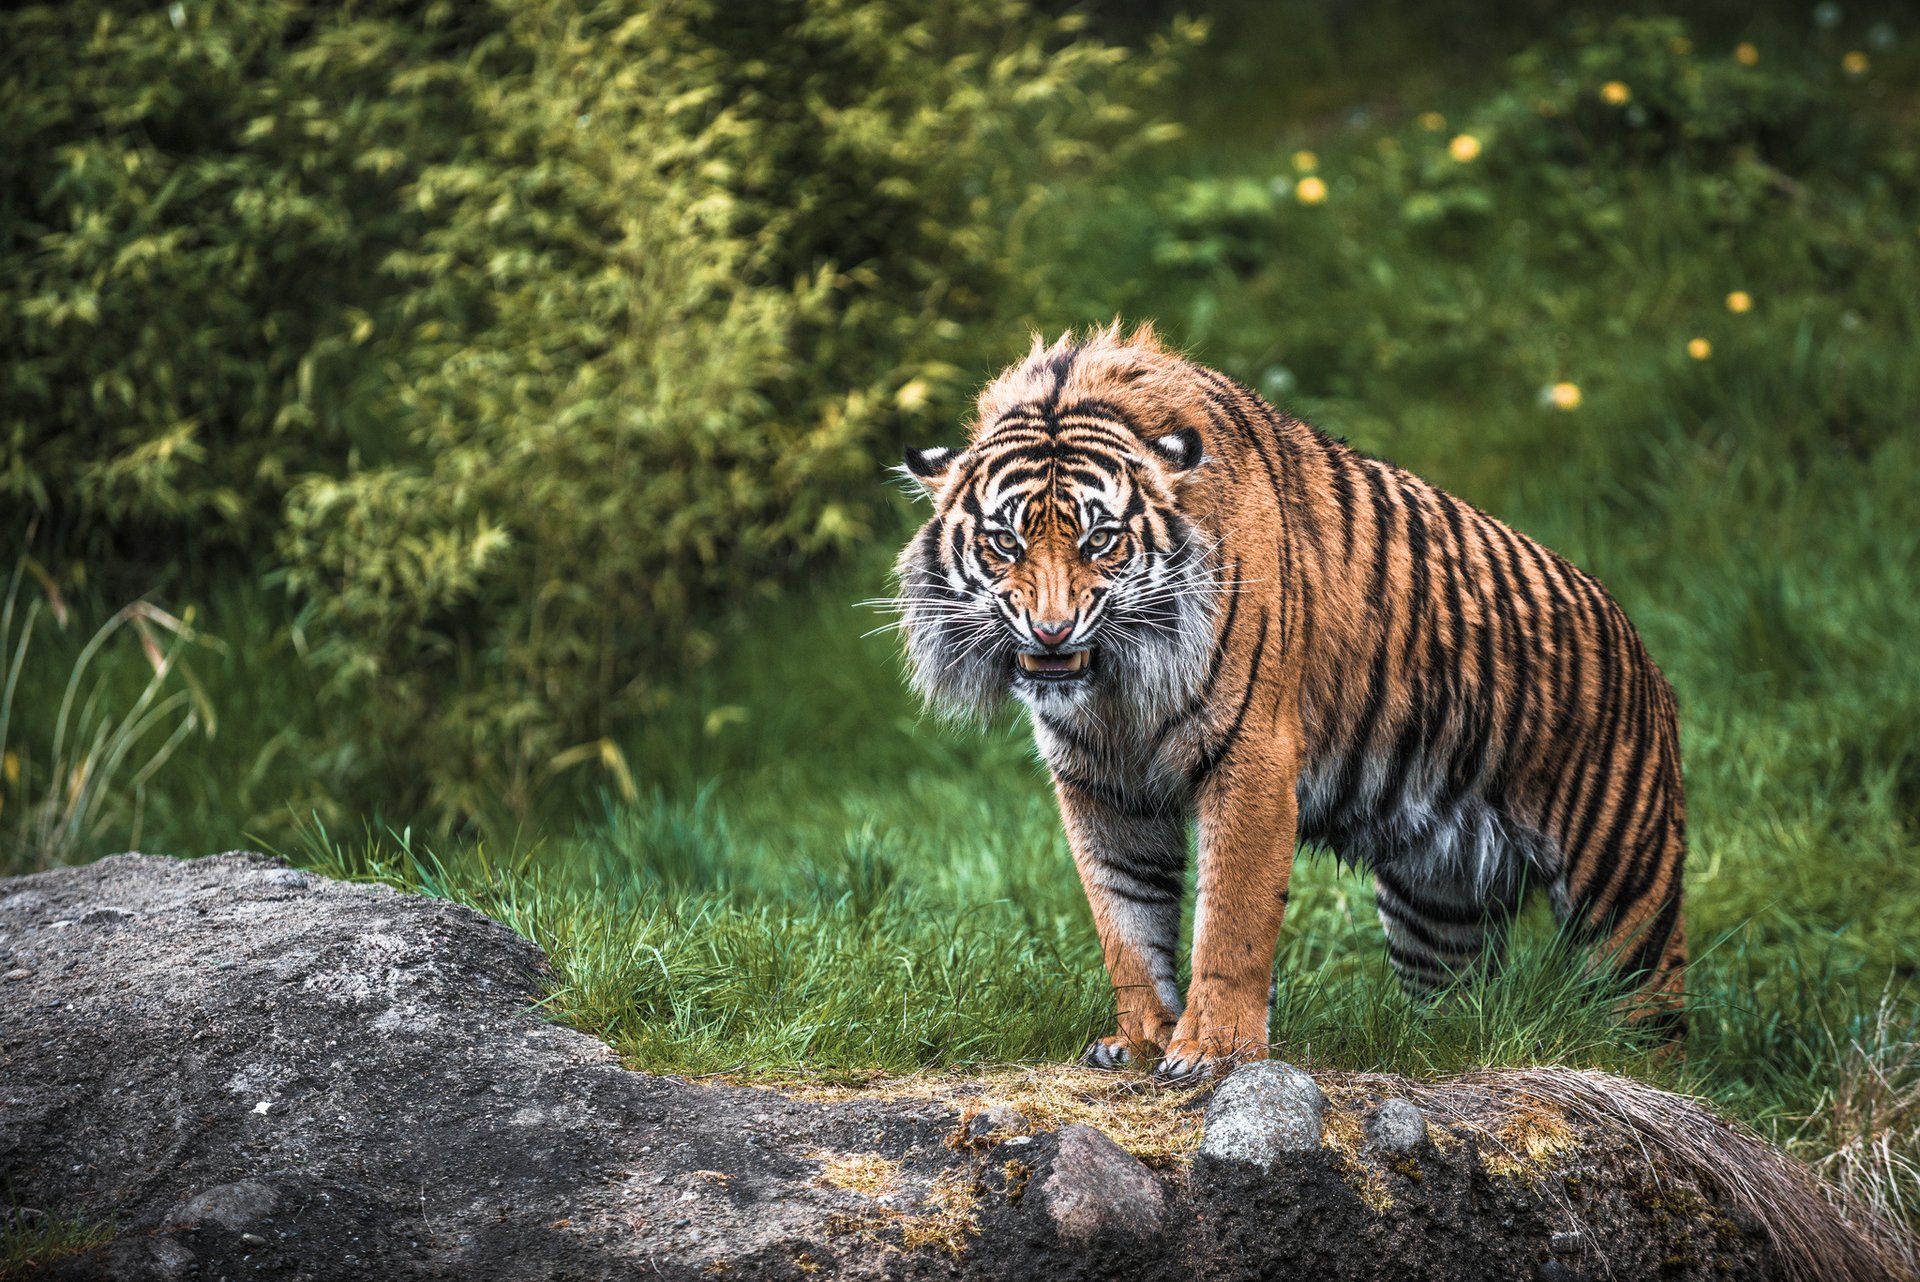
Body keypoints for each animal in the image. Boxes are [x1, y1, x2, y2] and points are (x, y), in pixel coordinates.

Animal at [890, 322, 1688, 1082]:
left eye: (1102, 540)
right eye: (1004, 543)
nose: (1052, 631)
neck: (1118, 686)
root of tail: (1644, 652)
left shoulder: (1251, 756)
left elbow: (1231, 919)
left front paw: (1212, 1050)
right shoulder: (1100, 785)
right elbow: (1125, 922)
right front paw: (1141, 1040)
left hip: (1623, 884)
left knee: (1653, 1010)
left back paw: (1638, 1076)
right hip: (1437, 900)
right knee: (1461, 999)